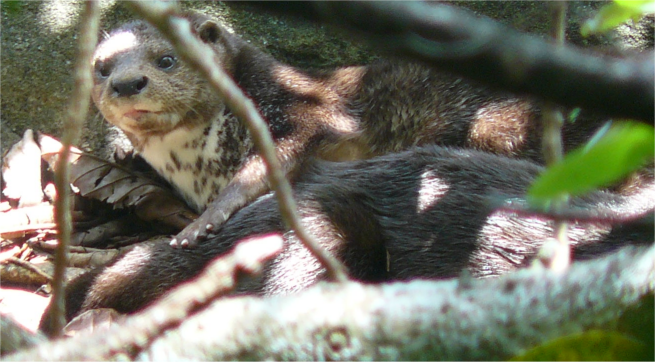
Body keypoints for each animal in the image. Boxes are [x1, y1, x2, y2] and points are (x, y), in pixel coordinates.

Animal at [91, 12, 620, 247]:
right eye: (100, 67)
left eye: (166, 59)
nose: (127, 83)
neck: (195, 163)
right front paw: (121, 151)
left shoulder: (308, 108)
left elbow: (272, 161)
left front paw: (202, 223)